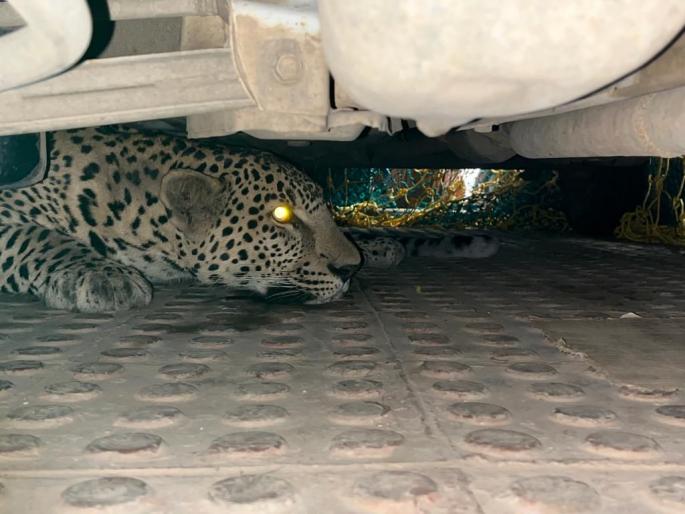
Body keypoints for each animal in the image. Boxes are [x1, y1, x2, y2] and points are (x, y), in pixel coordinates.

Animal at [0, 126, 497, 313]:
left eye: (321, 209)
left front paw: (376, 246)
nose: (348, 268)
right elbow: (35, 237)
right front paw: (102, 276)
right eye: (281, 216)